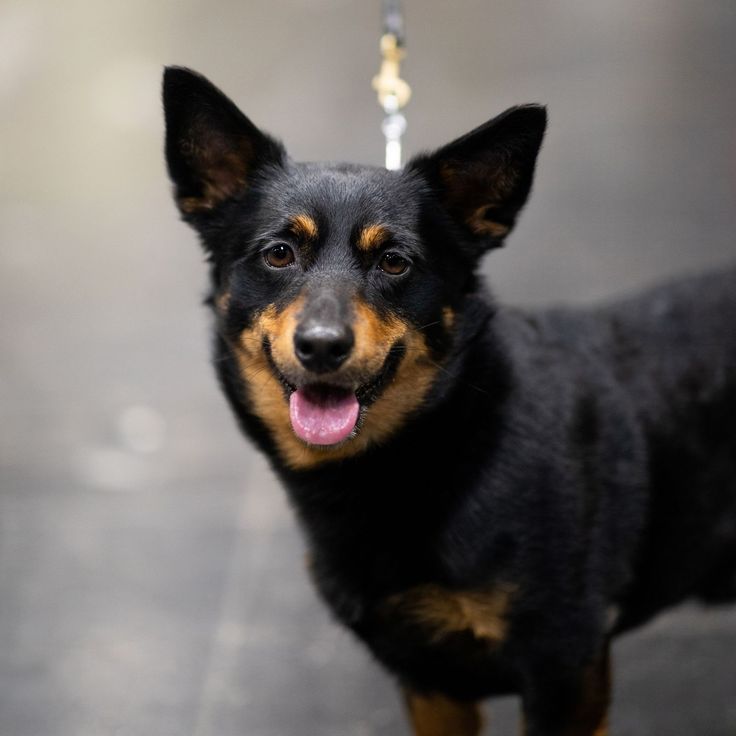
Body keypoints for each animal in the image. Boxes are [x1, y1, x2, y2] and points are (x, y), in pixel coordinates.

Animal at [161, 66, 736, 732]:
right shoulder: (428, 679)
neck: (438, 438)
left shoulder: (566, 667)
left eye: (394, 262)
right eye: (279, 253)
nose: (322, 346)